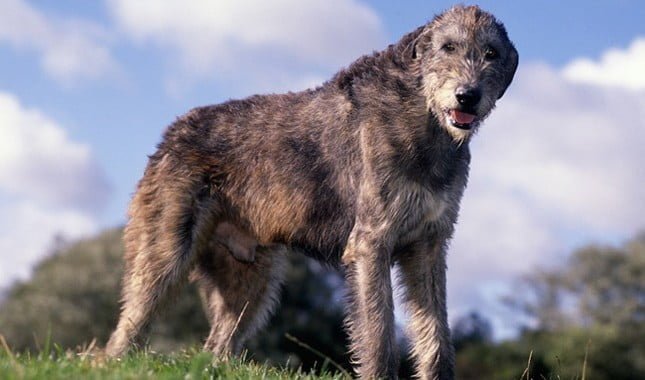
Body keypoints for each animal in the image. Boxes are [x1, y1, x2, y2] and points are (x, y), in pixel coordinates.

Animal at [107, 4, 520, 378]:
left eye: (491, 53)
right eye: (448, 47)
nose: (467, 95)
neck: (424, 119)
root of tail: (171, 132)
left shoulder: (429, 245)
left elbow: (436, 334)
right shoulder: (371, 243)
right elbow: (378, 332)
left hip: (251, 279)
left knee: (217, 344)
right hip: (163, 252)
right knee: (125, 330)